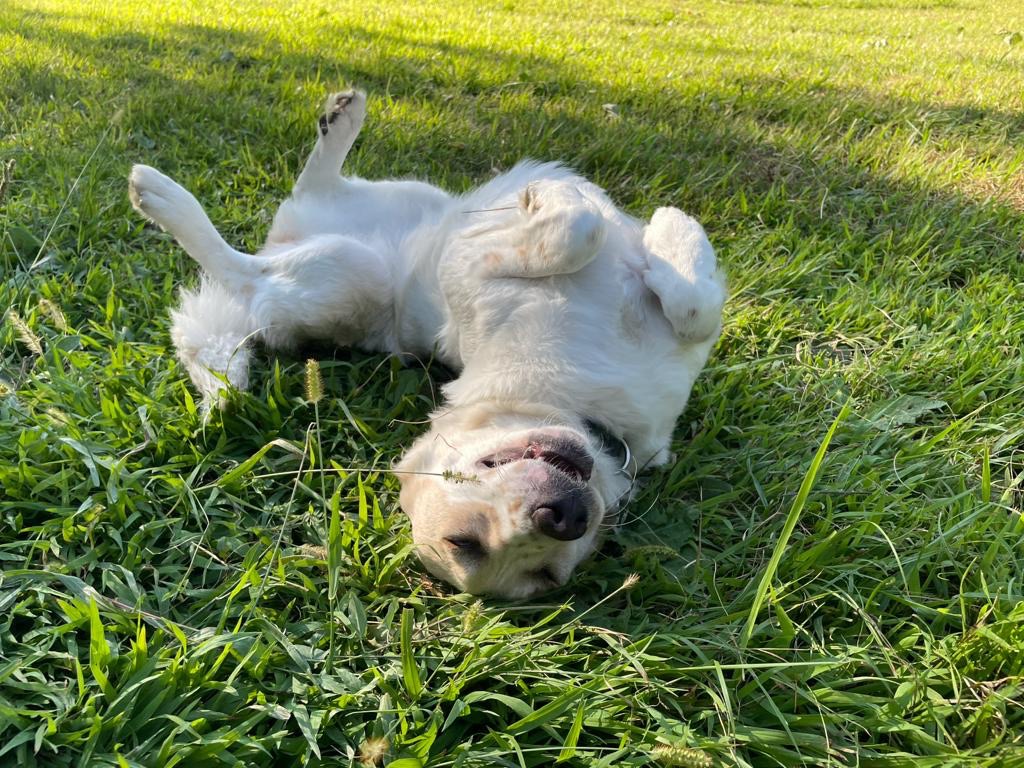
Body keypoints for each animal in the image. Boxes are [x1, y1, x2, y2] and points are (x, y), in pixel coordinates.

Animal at [128, 89, 726, 599]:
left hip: (377, 222)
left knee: (296, 208)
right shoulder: (465, 267)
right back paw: (163, 193)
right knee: (239, 262)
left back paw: (333, 123)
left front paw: (668, 232)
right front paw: (593, 211)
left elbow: (694, 308)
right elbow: (580, 230)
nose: (563, 519)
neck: (592, 418)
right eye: (465, 541)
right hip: (357, 269)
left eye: (547, 574)